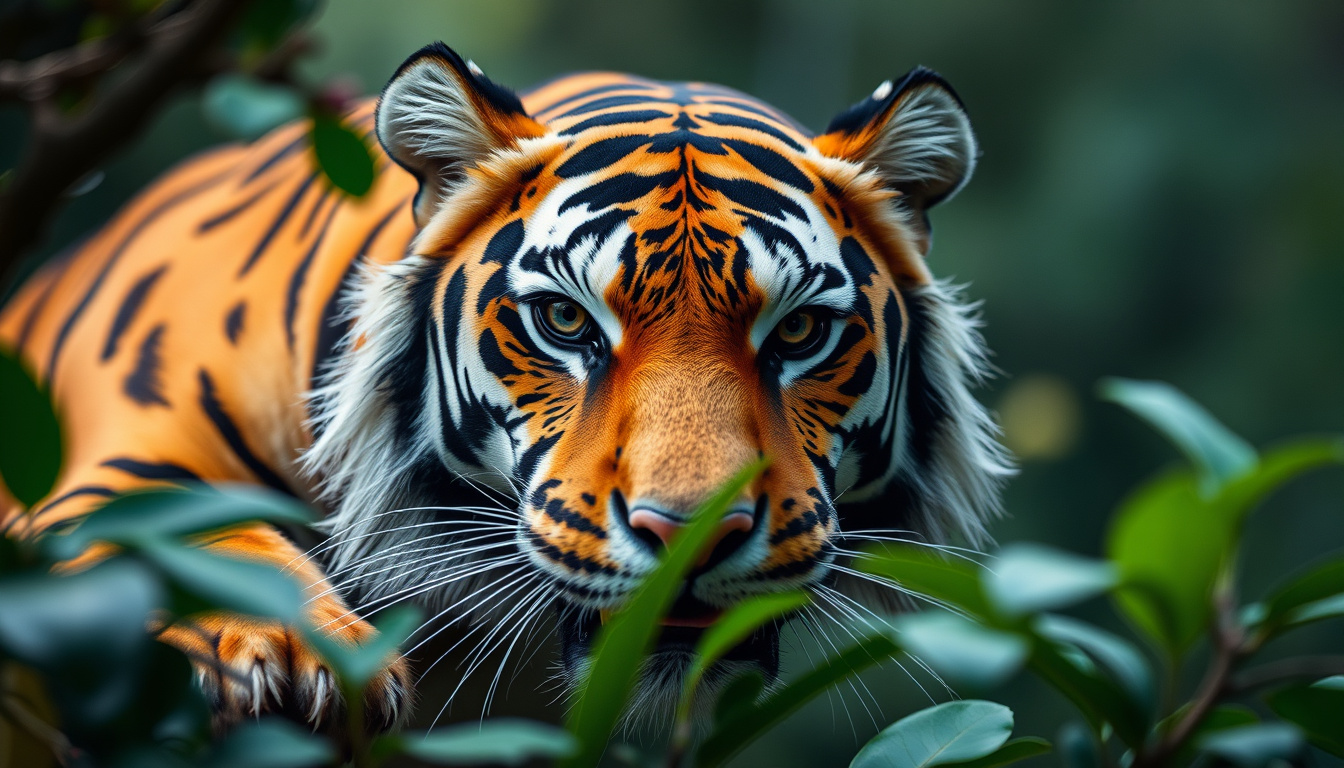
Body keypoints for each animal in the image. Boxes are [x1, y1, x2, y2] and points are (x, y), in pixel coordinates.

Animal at [0, 41, 1009, 731]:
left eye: (798, 332)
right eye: (564, 321)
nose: (687, 537)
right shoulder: (113, 473)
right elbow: (201, 536)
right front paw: (291, 653)